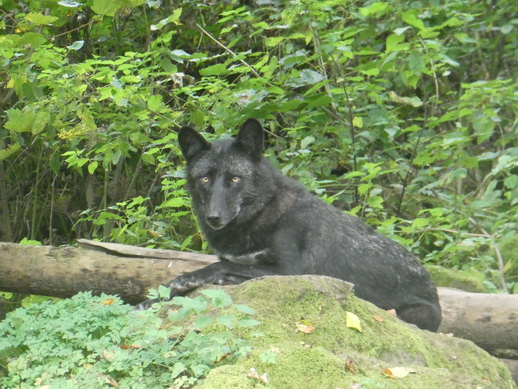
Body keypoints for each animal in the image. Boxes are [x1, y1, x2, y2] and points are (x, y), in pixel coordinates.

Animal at [137, 118, 442, 330]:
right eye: (205, 179)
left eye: (235, 178)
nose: (214, 217)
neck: (259, 214)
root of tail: (433, 286)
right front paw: (149, 301)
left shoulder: (289, 270)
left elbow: (221, 266)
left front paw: (192, 277)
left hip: (413, 314)